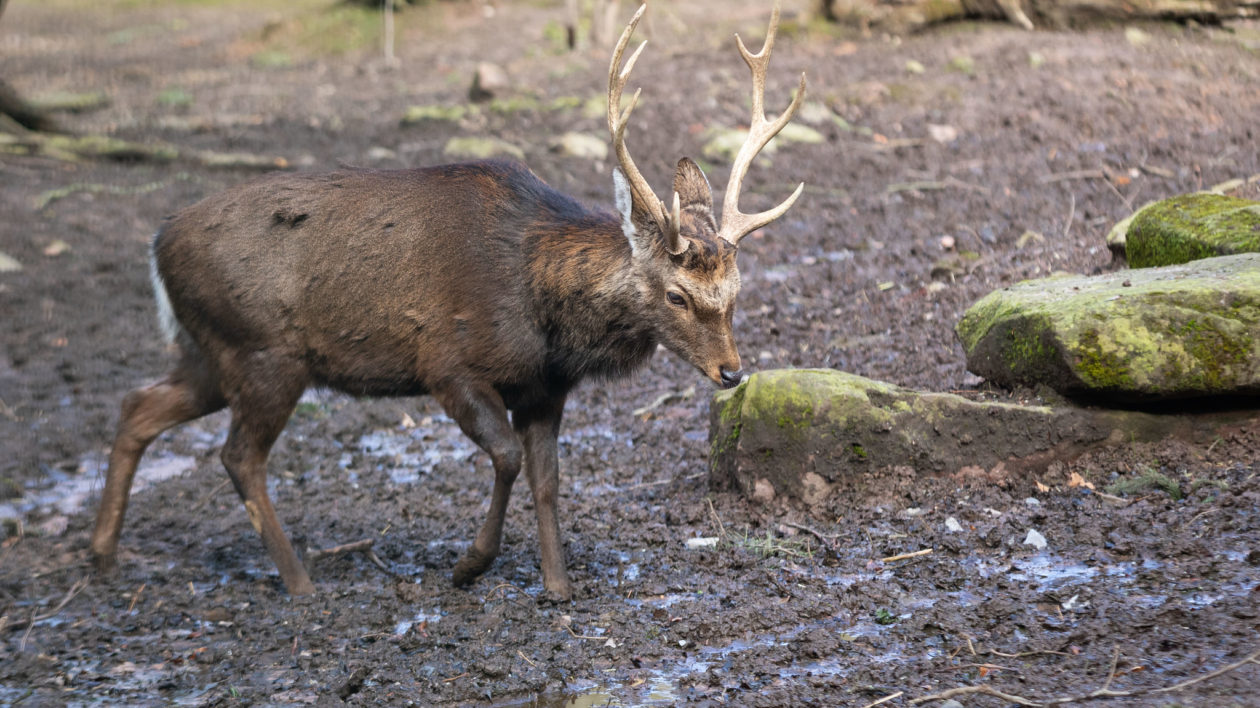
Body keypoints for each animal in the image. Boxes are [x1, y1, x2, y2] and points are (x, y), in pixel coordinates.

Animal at [95, 2, 806, 597]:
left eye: (736, 290)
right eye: (677, 295)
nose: (731, 371)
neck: (542, 314)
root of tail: (157, 244)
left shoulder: (545, 388)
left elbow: (549, 479)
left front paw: (557, 586)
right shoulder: (447, 363)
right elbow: (507, 455)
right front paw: (470, 565)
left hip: (212, 352)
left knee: (138, 404)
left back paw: (104, 549)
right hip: (264, 352)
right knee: (238, 455)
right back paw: (298, 581)